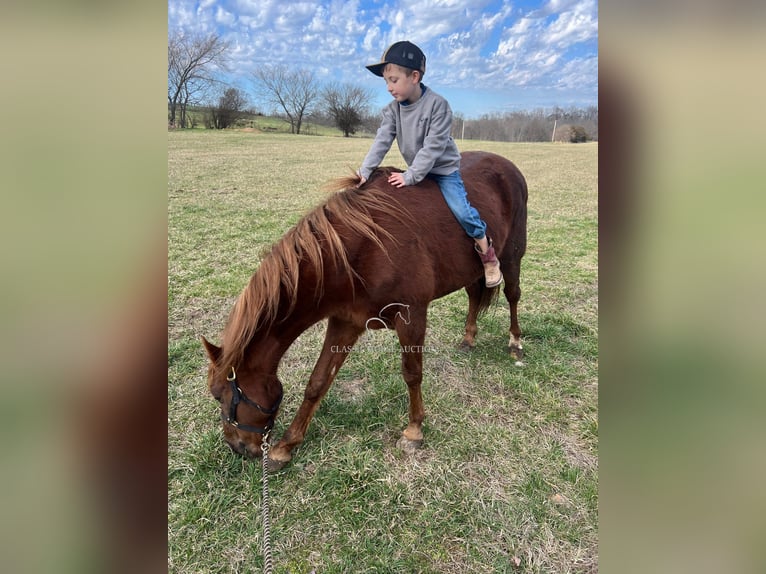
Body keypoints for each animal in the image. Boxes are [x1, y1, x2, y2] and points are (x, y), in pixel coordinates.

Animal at [202, 151, 528, 470]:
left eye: (219, 396)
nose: (236, 447)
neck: (359, 251)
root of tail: (506, 164)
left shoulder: (411, 315)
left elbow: (412, 374)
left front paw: (414, 431)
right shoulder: (345, 321)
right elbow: (318, 381)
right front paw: (285, 447)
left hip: (512, 254)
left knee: (512, 295)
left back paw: (515, 342)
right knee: (474, 295)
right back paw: (469, 338)